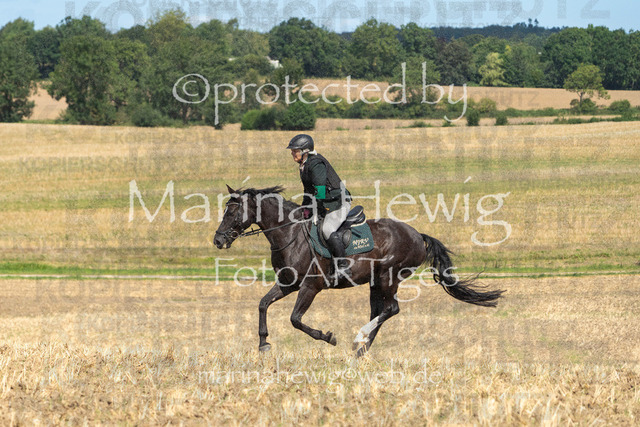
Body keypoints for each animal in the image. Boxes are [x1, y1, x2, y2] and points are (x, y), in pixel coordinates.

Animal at [213, 185, 504, 357]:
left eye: (233, 211)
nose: (218, 240)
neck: (289, 234)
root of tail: (416, 234)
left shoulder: (310, 287)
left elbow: (295, 319)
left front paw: (327, 337)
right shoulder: (287, 284)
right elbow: (263, 304)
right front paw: (263, 343)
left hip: (389, 276)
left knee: (390, 309)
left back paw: (358, 339)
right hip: (376, 281)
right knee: (380, 311)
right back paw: (362, 349)